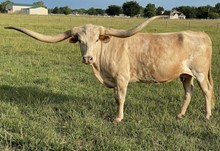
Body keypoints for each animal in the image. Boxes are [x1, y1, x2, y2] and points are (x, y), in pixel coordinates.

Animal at [5, 15, 214, 122]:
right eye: (79, 40)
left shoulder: (121, 78)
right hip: (185, 75)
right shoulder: (114, 80)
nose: (87, 58)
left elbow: (120, 99)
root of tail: (202, 34)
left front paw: (118, 118)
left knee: (207, 91)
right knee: (189, 91)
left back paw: (207, 115)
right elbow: (115, 98)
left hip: (200, 73)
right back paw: (180, 114)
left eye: (97, 39)